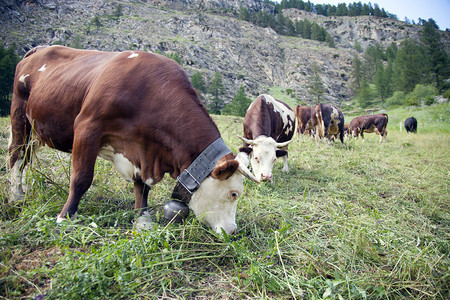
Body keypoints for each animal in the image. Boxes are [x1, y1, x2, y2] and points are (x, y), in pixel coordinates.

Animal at [8, 45, 258, 236]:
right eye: (234, 193)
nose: (233, 231)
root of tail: (40, 48)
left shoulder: (142, 149)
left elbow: (142, 186)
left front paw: (142, 217)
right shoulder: (87, 127)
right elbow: (81, 179)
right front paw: (65, 216)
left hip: (36, 131)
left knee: (26, 157)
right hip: (20, 117)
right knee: (16, 154)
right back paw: (16, 196)